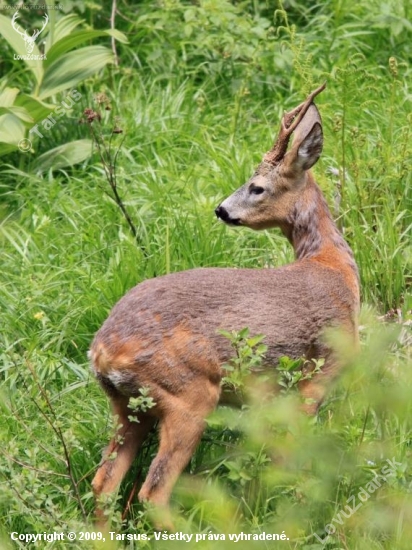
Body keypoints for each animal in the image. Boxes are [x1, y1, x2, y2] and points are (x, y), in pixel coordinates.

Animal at [89, 82, 358, 528]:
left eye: (257, 187)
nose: (221, 209)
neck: (331, 266)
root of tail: (102, 352)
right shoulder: (319, 371)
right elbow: (294, 455)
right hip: (189, 394)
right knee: (152, 491)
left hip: (127, 406)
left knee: (103, 484)